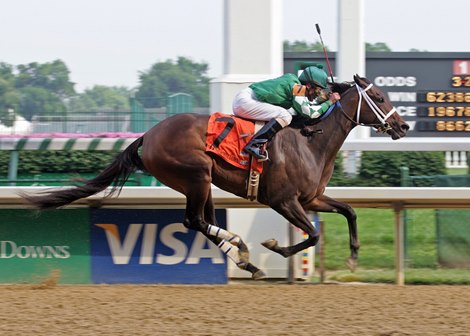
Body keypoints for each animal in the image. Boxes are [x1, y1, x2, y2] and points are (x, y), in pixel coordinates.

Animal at [22, 75, 408, 280]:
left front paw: (354, 256)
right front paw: (276, 247)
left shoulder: (311, 198)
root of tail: (149, 134)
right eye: (378, 96)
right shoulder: (283, 200)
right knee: (194, 220)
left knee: (200, 221)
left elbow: (349, 211)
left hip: (201, 181)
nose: (403, 126)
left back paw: (245, 258)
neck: (310, 140)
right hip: (196, 175)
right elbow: (312, 236)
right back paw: (242, 248)